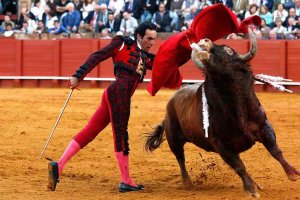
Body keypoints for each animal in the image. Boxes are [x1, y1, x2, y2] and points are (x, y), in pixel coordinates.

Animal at [144, 27, 298, 198]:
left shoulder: (264, 126)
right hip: (174, 138)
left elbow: (275, 150)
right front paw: (251, 191)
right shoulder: (221, 145)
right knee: (180, 157)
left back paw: (256, 184)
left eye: (228, 51)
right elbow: (239, 166)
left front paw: (292, 173)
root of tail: (171, 102)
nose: (204, 41)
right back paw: (188, 182)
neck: (235, 105)